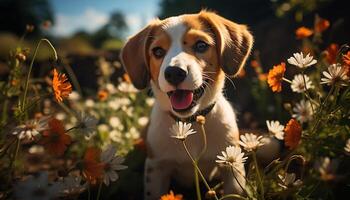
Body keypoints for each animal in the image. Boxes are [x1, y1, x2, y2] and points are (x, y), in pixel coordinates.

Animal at [120, 10, 254, 198]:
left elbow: (234, 191)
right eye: (158, 51)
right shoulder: (157, 167)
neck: (191, 124)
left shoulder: (232, 165)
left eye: (201, 45)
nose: (174, 73)